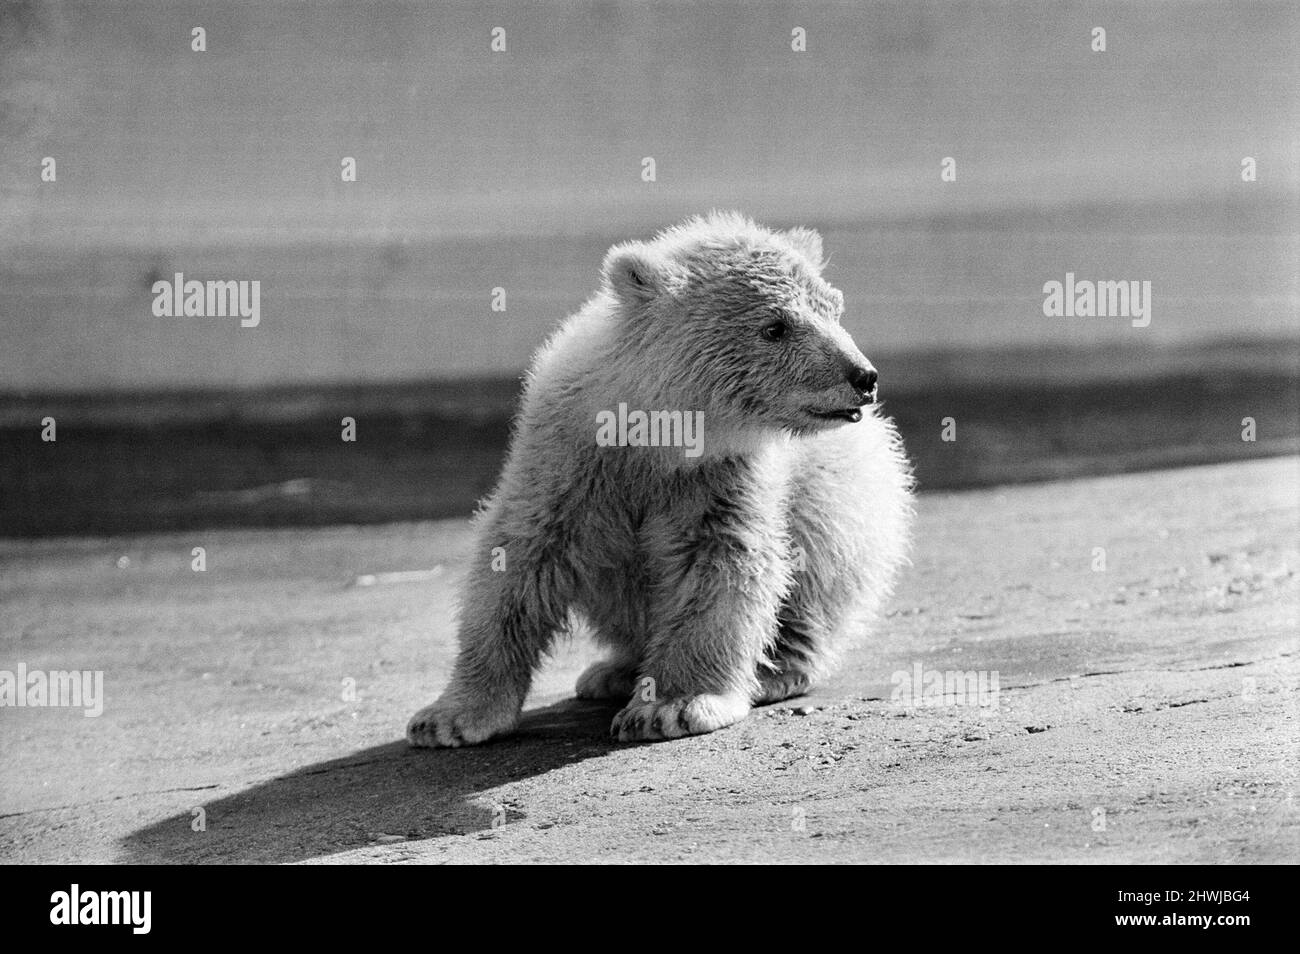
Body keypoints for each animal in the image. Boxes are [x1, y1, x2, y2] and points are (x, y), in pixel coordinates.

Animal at [407, 211, 913, 746]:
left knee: (817, 564)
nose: (863, 376)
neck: (654, 438)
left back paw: (774, 670)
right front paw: (447, 718)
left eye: (834, 308)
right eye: (775, 326)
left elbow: (721, 564)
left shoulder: (722, 477)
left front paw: (672, 706)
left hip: (844, 491)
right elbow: (517, 561)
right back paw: (612, 671)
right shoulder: (566, 461)